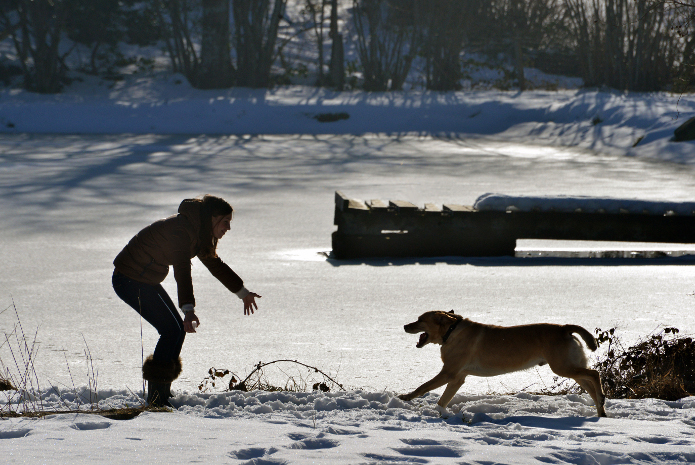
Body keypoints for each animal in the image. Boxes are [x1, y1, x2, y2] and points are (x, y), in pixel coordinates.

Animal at [400, 310, 608, 416]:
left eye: (420, 320)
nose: (404, 326)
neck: (450, 331)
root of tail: (564, 328)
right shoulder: (457, 377)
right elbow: (443, 399)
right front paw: (439, 412)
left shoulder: (449, 372)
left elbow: (422, 386)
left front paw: (405, 397)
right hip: (570, 367)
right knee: (590, 384)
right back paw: (601, 410)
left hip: (563, 367)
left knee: (595, 374)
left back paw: (602, 398)